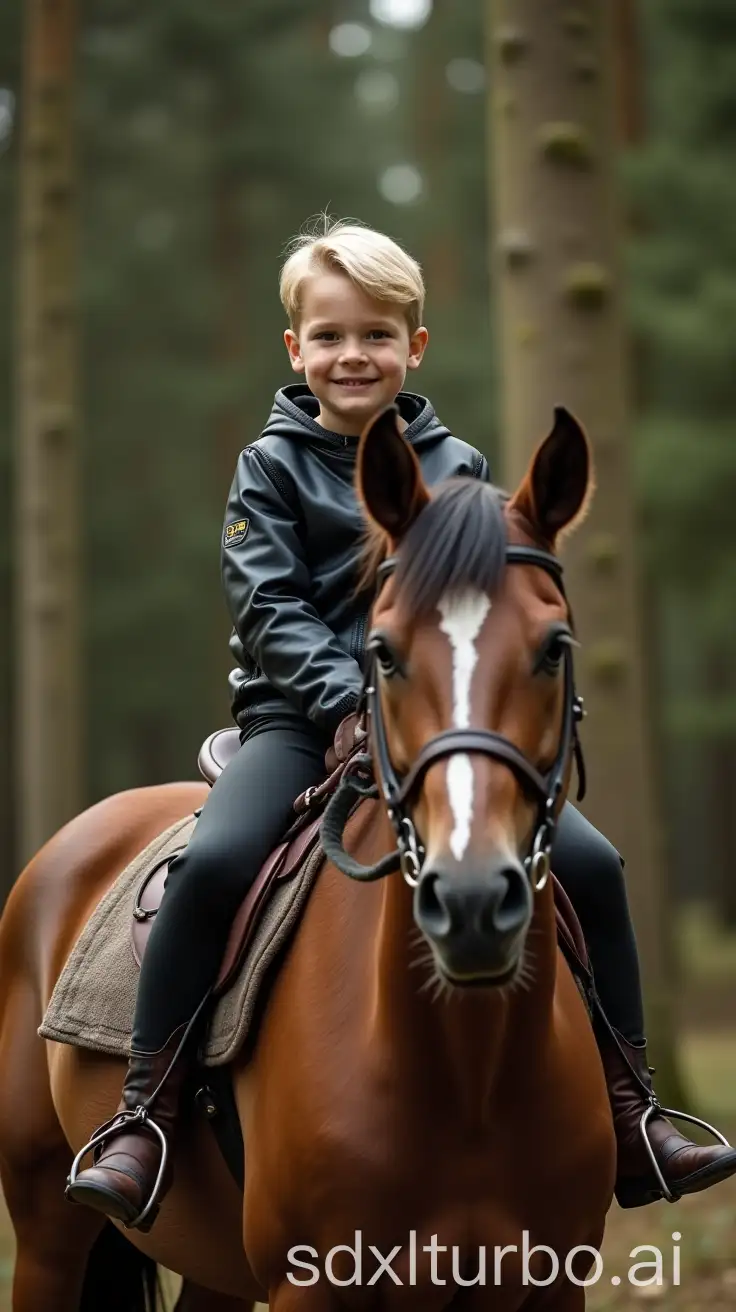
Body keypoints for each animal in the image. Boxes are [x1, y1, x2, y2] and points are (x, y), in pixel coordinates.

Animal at [0, 404, 613, 1306]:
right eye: (384, 650)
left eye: (554, 645)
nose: (469, 901)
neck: (466, 1071)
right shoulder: (312, 1281)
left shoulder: (552, 1278)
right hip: (47, 1229)